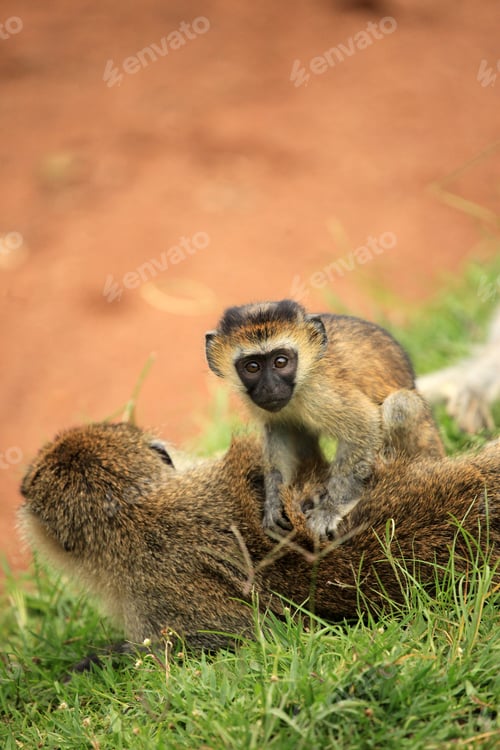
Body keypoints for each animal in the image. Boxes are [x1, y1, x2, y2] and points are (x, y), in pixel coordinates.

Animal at [205, 299, 445, 539]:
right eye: (252, 367)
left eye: (281, 362)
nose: (270, 388)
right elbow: (280, 430)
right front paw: (274, 502)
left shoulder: (322, 390)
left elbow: (365, 423)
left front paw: (329, 510)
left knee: (400, 404)